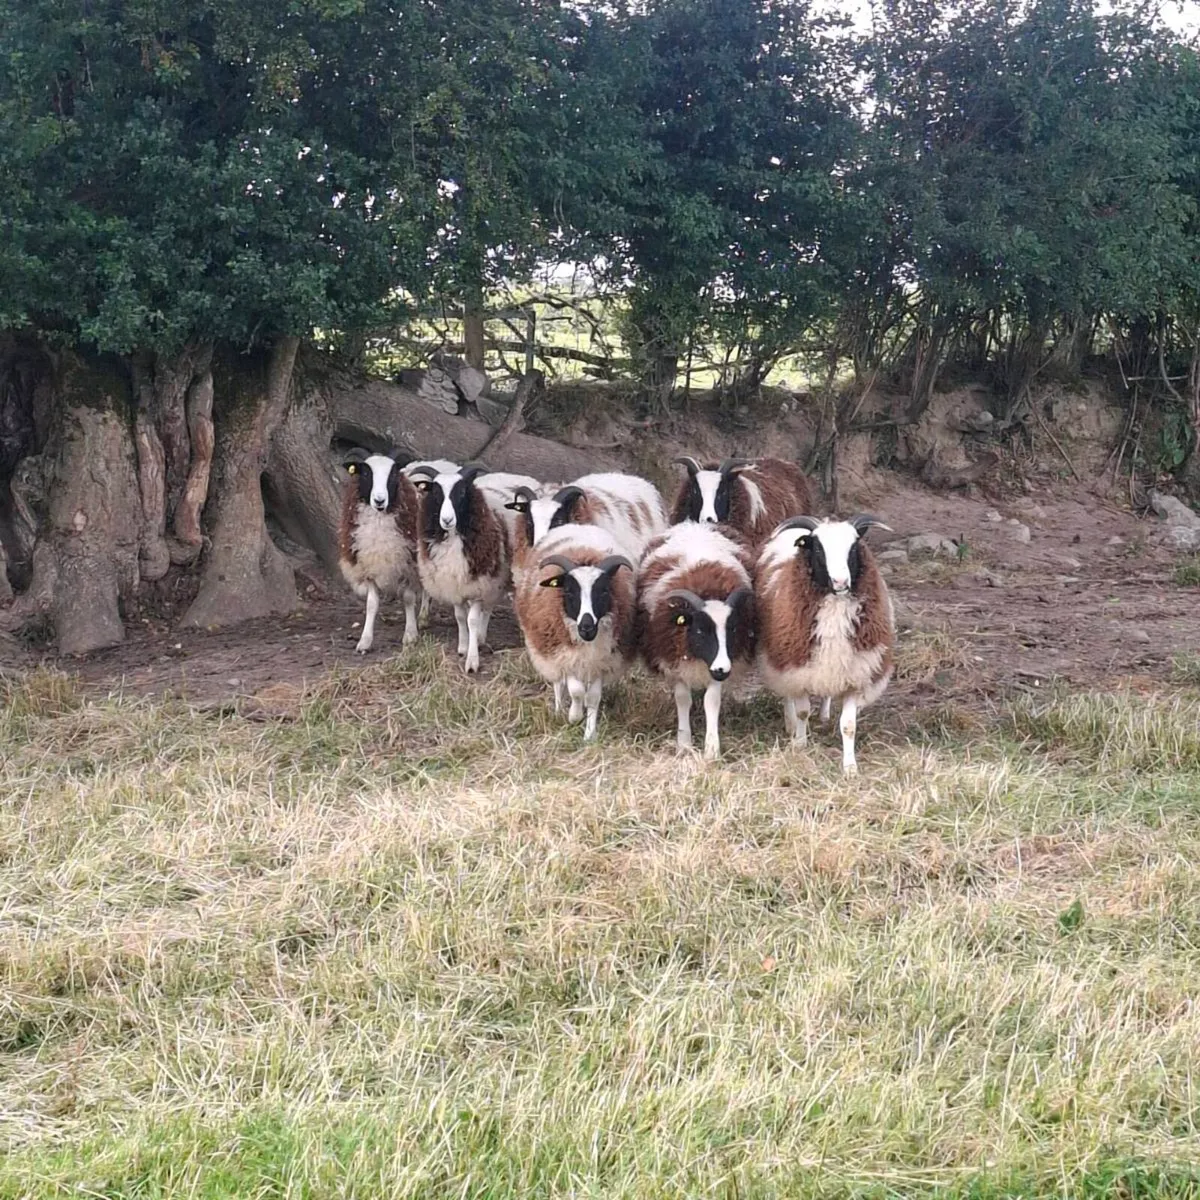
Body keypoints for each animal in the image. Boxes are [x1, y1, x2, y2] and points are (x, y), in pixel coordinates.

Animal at [338, 451, 423, 654]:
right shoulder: (368, 567)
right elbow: (371, 605)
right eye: (366, 473)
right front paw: (365, 641)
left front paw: (410, 635)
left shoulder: (408, 566)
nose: (379, 500)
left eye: (393, 474)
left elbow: (408, 599)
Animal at [407, 462, 538, 673]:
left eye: (461, 492)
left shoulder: (479, 583)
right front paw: (463, 646)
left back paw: (481, 638)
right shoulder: (455, 584)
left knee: (489, 606)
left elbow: (472, 620)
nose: (447, 520)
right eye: (436, 493)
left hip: (497, 575)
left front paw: (472, 659)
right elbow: (460, 617)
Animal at [513, 523, 636, 740]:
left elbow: (593, 697)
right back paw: (559, 710)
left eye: (604, 591)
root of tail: (576, 525)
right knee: (558, 683)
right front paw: (574, 716)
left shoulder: (601, 662)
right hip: (550, 650)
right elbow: (576, 690)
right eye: (569, 591)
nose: (586, 626)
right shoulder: (566, 657)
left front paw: (590, 735)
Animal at [636, 523, 755, 761]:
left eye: (733, 628)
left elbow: (712, 701)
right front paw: (684, 743)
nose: (722, 669)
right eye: (700, 630)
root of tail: (695, 524)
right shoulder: (674, 663)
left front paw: (711, 749)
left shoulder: (716, 669)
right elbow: (683, 699)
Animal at [755, 514, 895, 775]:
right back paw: (790, 724)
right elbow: (802, 712)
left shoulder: (854, 675)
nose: (840, 581)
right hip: (782, 659)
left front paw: (850, 767)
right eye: (818, 548)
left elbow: (848, 725)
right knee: (787, 696)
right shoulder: (796, 668)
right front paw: (800, 745)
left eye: (854, 546)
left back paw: (824, 714)